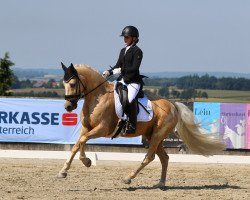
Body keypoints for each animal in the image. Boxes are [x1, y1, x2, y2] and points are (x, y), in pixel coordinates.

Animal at [58, 63, 225, 188]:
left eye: (72, 83)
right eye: (63, 84)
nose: (68, 107)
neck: (98, 97)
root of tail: (172, 105)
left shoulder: (102, 129)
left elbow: (82, 141)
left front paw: (87, 161)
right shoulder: (86, 128)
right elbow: (77, 144)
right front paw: (63, 171)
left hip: (157, 135)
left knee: (149, 157)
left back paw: (128, 178)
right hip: (152, 136)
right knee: (164, 158)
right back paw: (161, 183)